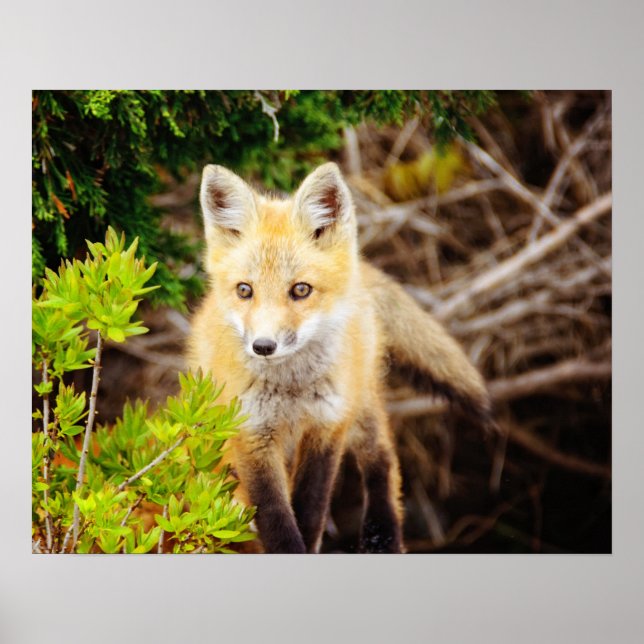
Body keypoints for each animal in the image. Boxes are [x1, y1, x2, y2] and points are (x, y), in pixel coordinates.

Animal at [187, 162, 493, 553]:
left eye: (301, 290)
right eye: (245, 290)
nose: (263, 346)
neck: (291, 390)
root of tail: (359, 276)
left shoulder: (327, 426)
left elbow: (311, 509)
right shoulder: (250, 434)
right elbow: (275, 518)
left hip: (360, 401)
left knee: (382, 458)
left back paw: (382, 535)